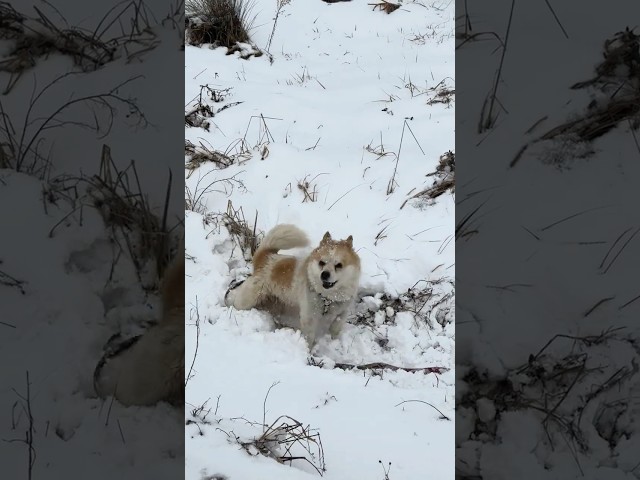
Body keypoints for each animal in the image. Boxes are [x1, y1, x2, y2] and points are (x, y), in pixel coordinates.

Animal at [224, 223, 360, 346]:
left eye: (339, 265)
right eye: (322, 263)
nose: (324, 274)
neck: (328, 298)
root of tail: (266, 257)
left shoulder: (342, 313)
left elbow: (336, 328)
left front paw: (334, 343)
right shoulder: (309, 317)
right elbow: (309, 338)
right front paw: (308, 351)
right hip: (247, 300)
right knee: (236, 300)